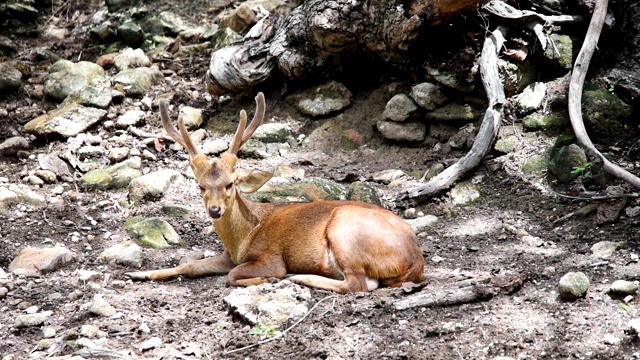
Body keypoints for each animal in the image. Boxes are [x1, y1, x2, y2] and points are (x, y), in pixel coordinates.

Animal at [125, 92, 424, 292]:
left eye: (230, 183)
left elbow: (232, 276)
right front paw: (139, 275)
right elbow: (188, 265)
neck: (243, 238)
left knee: (358, 283)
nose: (215, 210)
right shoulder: (227, 256)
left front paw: (268, 278)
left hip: (345, 229)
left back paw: (298, 277)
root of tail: (415, 261)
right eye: (201, 186)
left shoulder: (270, 257)